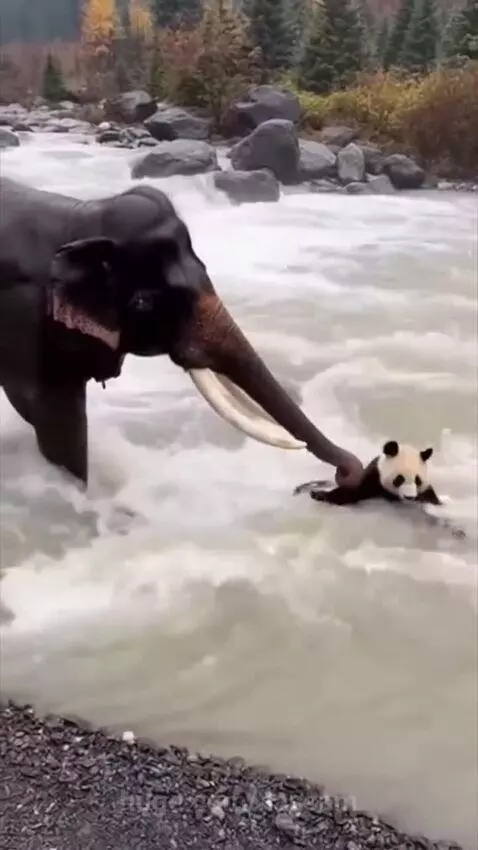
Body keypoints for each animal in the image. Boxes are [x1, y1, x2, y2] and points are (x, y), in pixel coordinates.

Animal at [0, 176, 364, 489]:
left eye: (204, 268)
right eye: (143, 302)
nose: (347, 473)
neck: (77, 217)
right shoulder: (25, 320)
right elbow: (49, 413)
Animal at [295, 440, 442, 506]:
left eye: (418, 480)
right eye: (399, 479)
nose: (409, 497)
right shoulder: (374, 476)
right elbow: (352, 492)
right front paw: (319, 495)